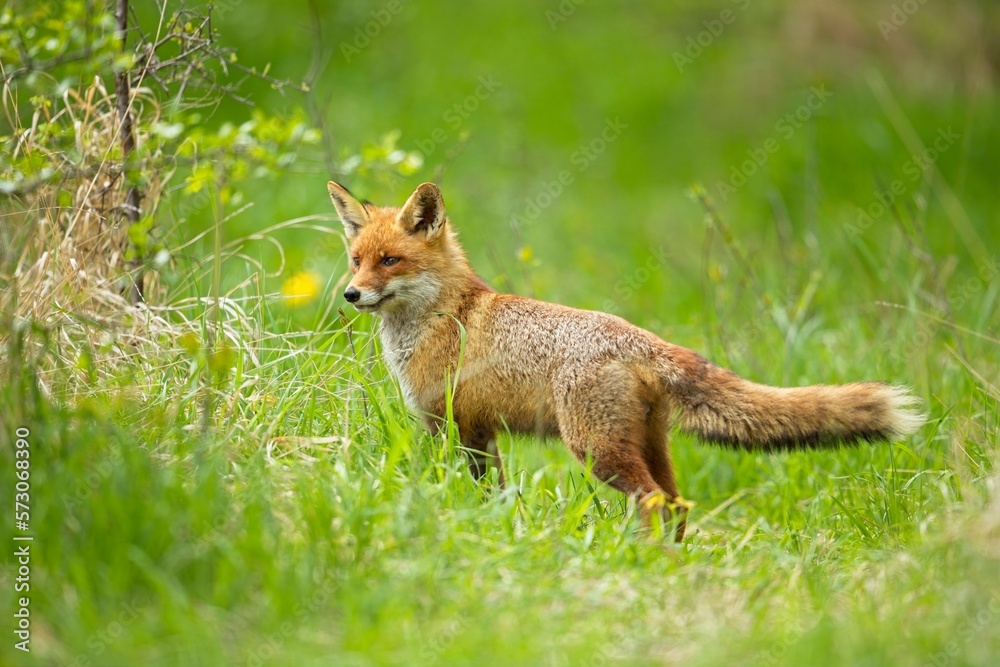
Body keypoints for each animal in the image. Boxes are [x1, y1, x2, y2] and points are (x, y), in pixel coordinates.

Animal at [326, 180, 920, 540]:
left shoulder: (451, 425)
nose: (351, 295)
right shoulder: (480, 431)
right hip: (645, 446)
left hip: (597, 450)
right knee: (678, 504)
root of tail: (641, 338)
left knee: (654, 502)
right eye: (355, 260)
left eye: (390, 261)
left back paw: (642, 557)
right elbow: (493, 494)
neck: (443, 314)